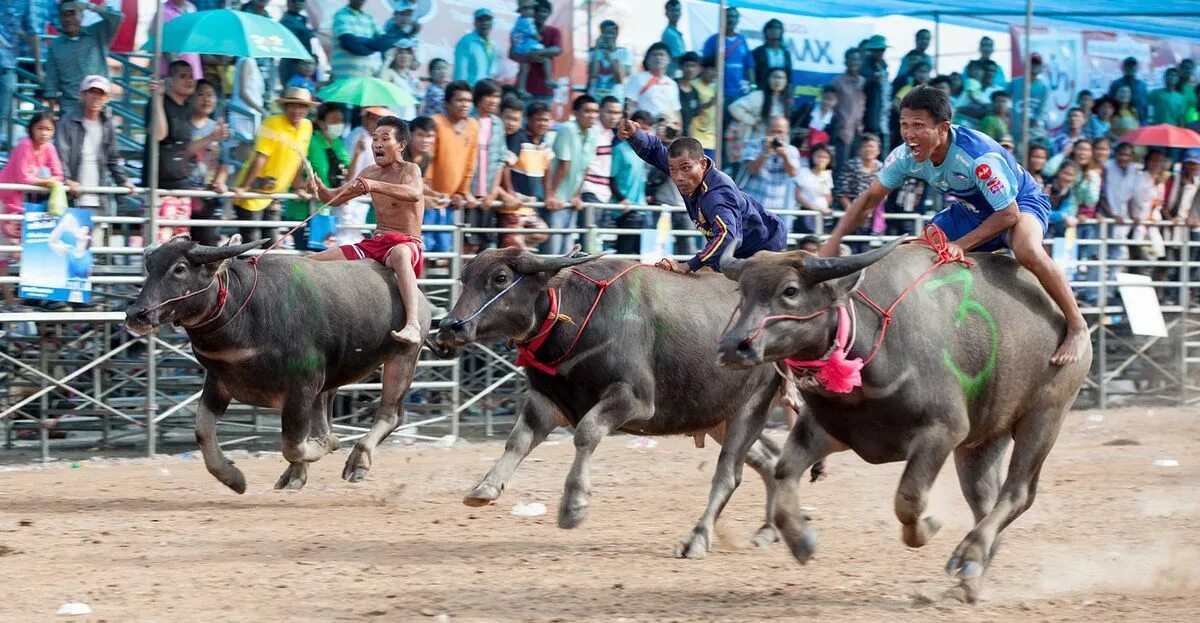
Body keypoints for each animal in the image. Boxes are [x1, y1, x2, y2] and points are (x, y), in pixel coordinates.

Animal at [126, 236, 432, 494]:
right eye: (150, 267)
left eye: (179, 269)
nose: (136, 314)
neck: (245, 311)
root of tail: (422, 299)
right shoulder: (218, 380)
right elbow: (203, 432)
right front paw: (233, 478)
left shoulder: (302, 386)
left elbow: (293, 445)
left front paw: (326, 446)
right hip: (330, 380)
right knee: (327, 420)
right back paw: (295, 475)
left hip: (403, 357)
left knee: (390, 415)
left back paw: (356, 463)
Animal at [434, 246, 796, 559]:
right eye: (465, 278)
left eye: (500, 278)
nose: (450, 326)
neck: (574, 316)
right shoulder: (546, 401)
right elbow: (517, 440)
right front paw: (486, 487)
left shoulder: (634, 399)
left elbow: (587, 431)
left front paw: (573, 506)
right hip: (718, 415)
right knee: (768, 458)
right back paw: (767, 530)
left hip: (750, 408)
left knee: (728, 474)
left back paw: (697, 539)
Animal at [715, 241, 1094, 602]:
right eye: (742, 291)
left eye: (790, 290)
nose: (732, 346)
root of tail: (1073, 316)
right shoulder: (826, 430)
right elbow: (783, 473)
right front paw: (802, 541)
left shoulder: (944, 430)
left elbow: (909, 499)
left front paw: (929, 526)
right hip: (984, 439)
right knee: (984, 502)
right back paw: (969, 579)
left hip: (1045, 415)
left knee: (1018, 493)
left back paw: (967, 556)